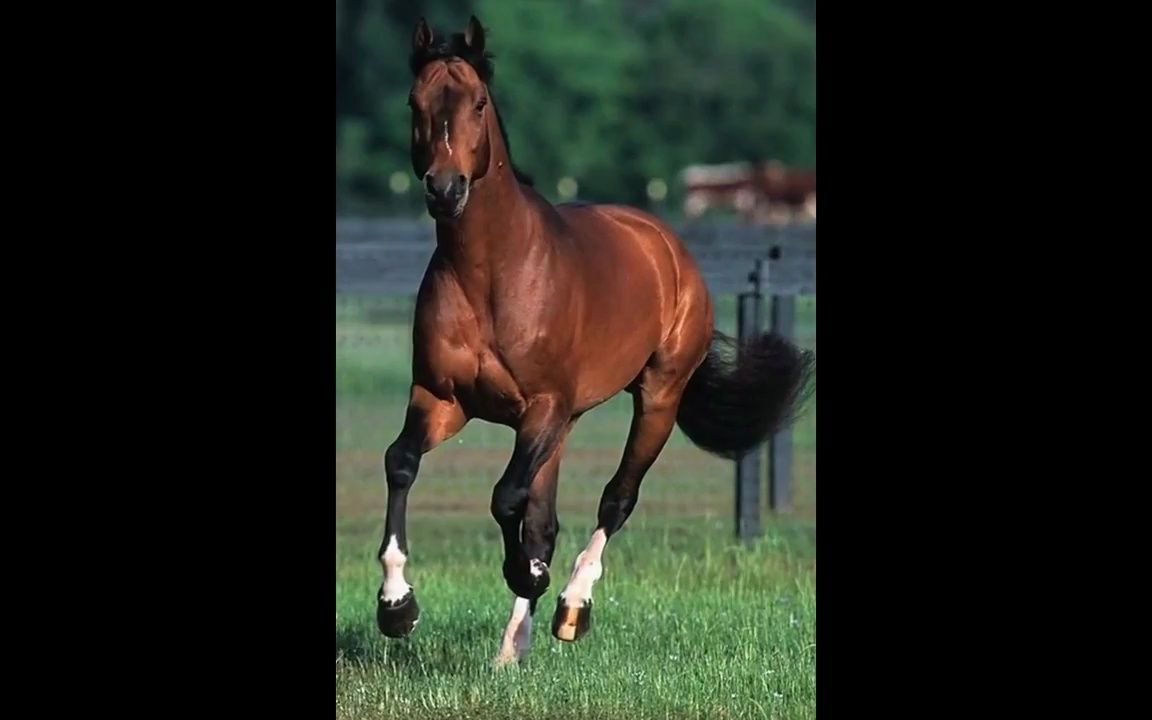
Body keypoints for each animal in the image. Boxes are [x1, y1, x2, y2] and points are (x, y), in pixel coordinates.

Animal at [375, 15, 815, 667]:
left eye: (478, 102)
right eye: (415, 101)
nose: (445, 189)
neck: (490, 275)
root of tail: (666, 244)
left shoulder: (542, 408)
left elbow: (506, 498)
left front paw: (528, 575)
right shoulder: (441, 399)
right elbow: (402, 463)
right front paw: (397, 606)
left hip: (655, 399)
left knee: (616, 498)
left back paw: (572, 607)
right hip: (563, 425)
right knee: (545, 519)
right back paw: (511, 647)